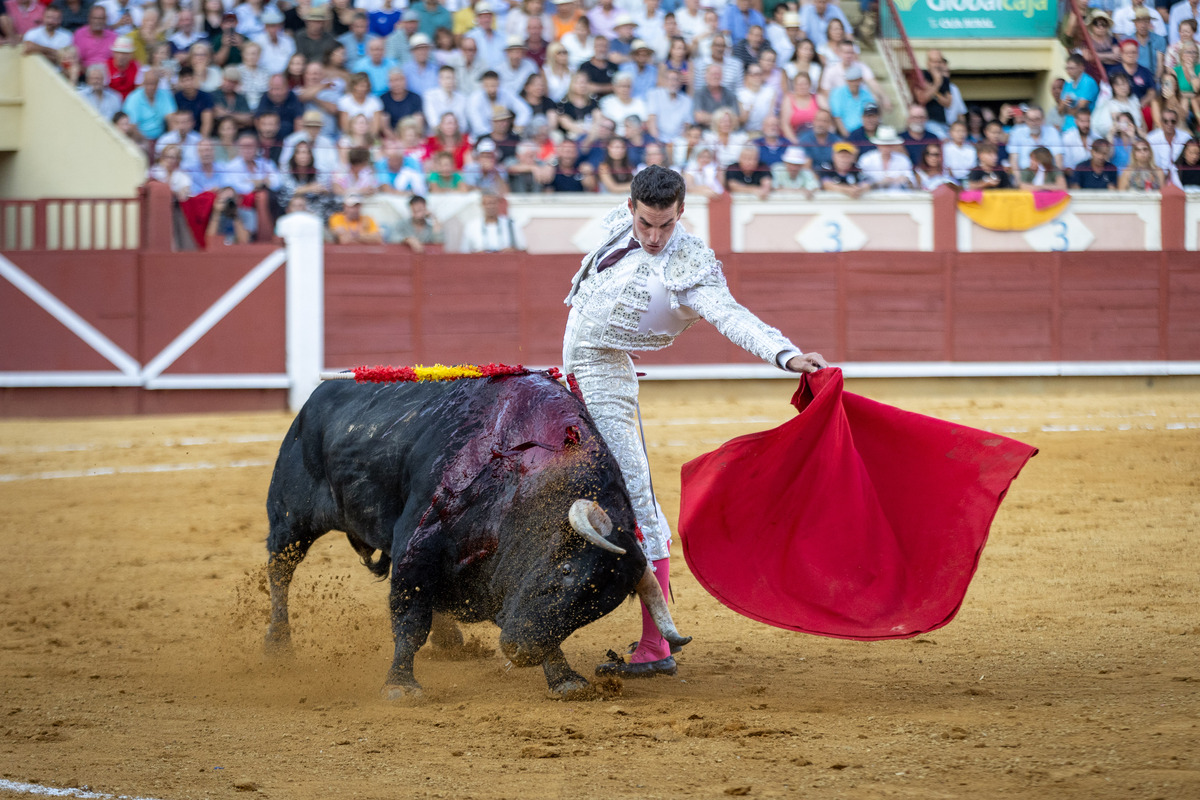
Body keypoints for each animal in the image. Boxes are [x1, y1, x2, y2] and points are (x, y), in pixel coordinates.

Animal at [266, 371, 691, 695]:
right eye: (567, 570)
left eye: (599, 607)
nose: (520, 653)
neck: (524, 477)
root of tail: (317, 395)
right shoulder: (416, 545)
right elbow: (410, 620)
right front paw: (401, 684)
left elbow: (539, 626)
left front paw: (564, 679)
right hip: (289, 518)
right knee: (280, 572)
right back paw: (278, 645)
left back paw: (450, 641)